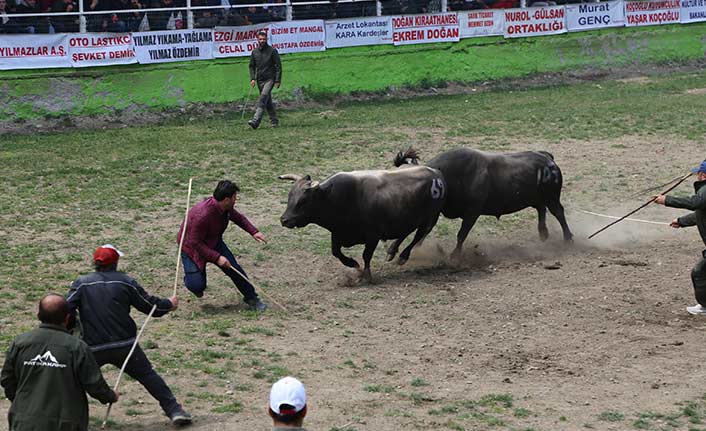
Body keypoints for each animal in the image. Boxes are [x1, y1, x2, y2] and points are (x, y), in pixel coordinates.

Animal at [278, 167, 442, 282]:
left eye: (303, 200)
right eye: (290, 196)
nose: (284, 220)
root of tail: (436, 174)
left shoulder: (372, 236)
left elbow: (366, 256)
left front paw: (366, 275)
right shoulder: (337, 233)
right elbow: (336, 252)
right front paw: (353, 264)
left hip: (429, 218)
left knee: (419, 235)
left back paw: (402, 256)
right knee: (406, 232)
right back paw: (391, 251)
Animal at [394, 148, 568, 258]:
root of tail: (547, 158)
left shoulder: (472, 212)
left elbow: (461, 234)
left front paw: (455, 255)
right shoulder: (435, 214)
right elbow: (424, 231)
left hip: (552, 198)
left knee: (558, 213)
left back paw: (568, 238)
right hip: (539, 198)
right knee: (541, 209)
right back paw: (543, 233)